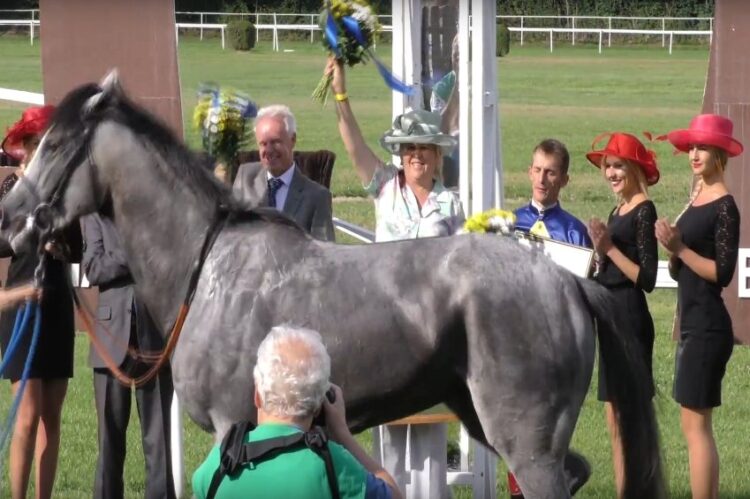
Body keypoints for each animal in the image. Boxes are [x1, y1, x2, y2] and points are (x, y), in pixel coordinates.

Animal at [1, 78, 668, 499]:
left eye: (54, 145)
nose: (10, 221)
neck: (209, 264)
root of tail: (565, 279)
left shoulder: (231, 430)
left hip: (524, 442)